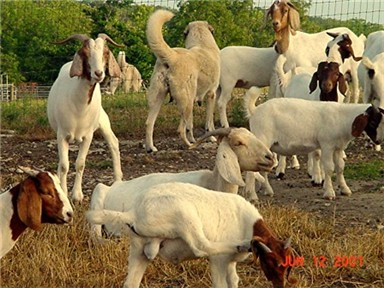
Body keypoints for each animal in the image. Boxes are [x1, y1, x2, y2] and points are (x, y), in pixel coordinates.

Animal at [47, 33, 124, 202]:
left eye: (105, 53)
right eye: (85, 53)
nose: (99, 73)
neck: (79, 107)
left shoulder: (88, 136)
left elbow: (80, 163)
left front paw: (77, 195)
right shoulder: (62, 134)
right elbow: (64, 165)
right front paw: (64, 193)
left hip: (103, 121)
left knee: (113, 143)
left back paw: (118, 180)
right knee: (61, 163)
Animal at [87, 182, 296, 288]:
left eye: (287, 266)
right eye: (273, 263)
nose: (280, 286)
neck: (247, 223)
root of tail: (133, 213)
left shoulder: (230, 264)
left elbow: (234, 280)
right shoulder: (220, 261)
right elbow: (220, 284)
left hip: (139, 250)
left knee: (131, 282)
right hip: (184, 214)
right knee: (201, 245)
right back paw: (242, 243)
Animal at [144, 9, 219, 152]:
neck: (201, 43)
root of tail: (173, 56)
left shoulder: (195, 98)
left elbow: (191, 125)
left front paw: (194, 138)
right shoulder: (211, 94)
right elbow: (209, 122)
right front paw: (212, 138)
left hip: (159, 99)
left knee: (149, 123)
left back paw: (151, 148)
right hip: (186, 103)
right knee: (180, 129)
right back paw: (190, 146)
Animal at [243, 88, 384, 200]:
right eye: (372, 122)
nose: (379, 141)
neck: (342, 118)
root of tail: (255, 110)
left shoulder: (338, 147)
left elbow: (340, 167)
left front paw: (345, 190)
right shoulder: (327, 145)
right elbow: (329, 168)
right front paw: (329, 192)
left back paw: (267, 191)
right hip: (262, 139)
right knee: (251, 170)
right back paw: (252, 196)